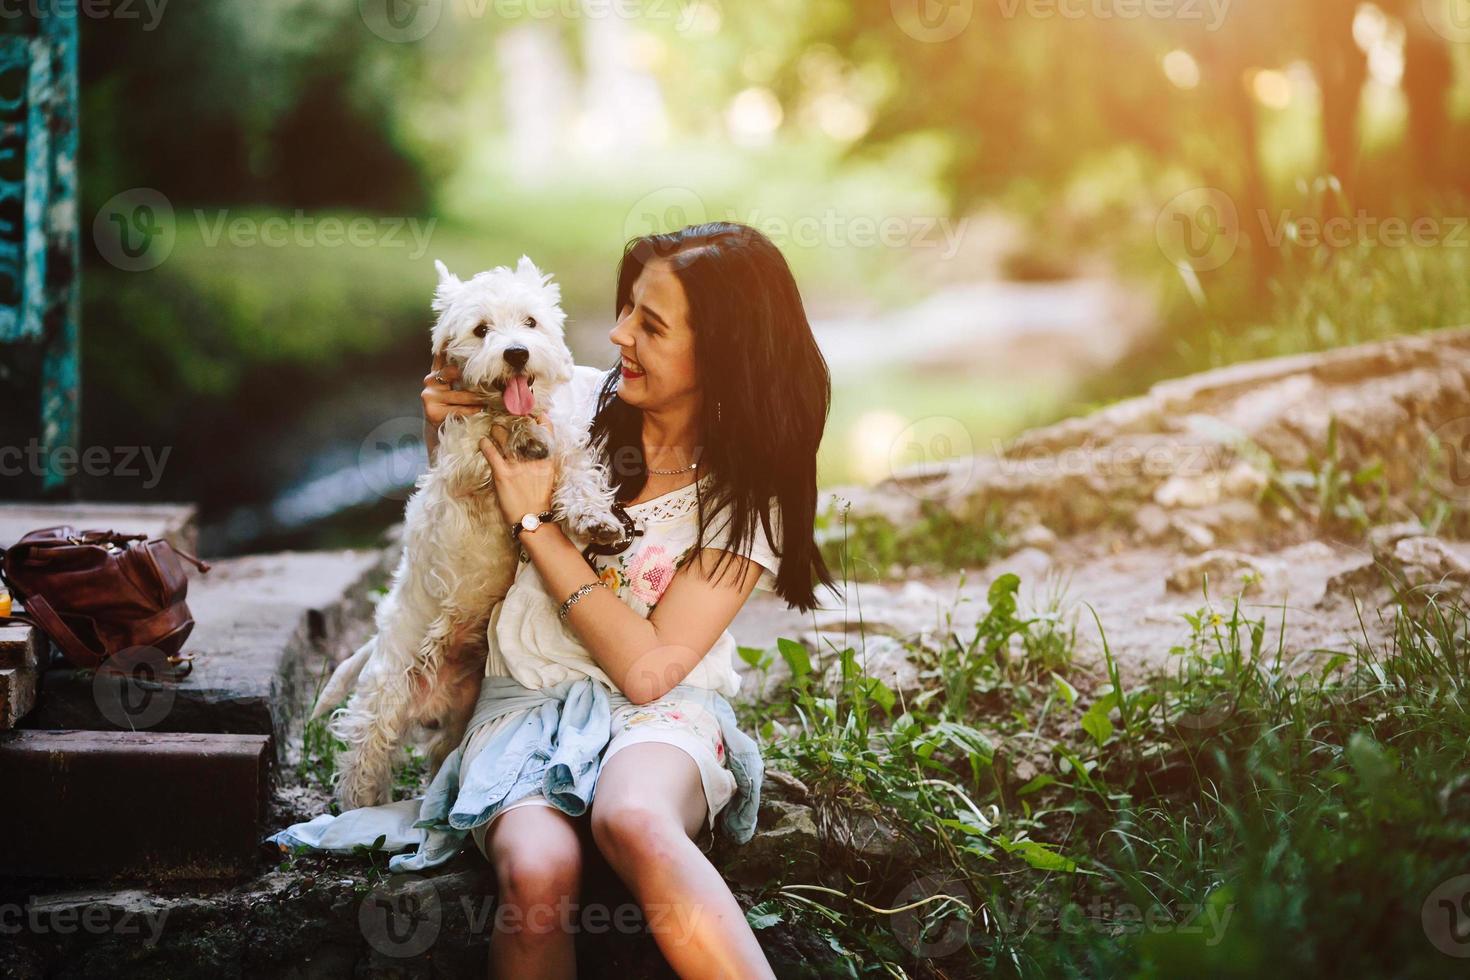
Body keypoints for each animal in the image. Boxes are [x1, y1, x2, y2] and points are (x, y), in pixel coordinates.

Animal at [313, 257, 623, 811]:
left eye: (530, 322)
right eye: (481, 330)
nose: (516, 353)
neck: (505, 405)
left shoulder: (570, 445)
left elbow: (577, 472)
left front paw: (595, 518)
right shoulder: (459, 459)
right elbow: (484, 438)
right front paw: (523, 436)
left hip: (460, 718)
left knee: (441, 754)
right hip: (387, 693)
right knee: (363, 755)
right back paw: (359, 807)